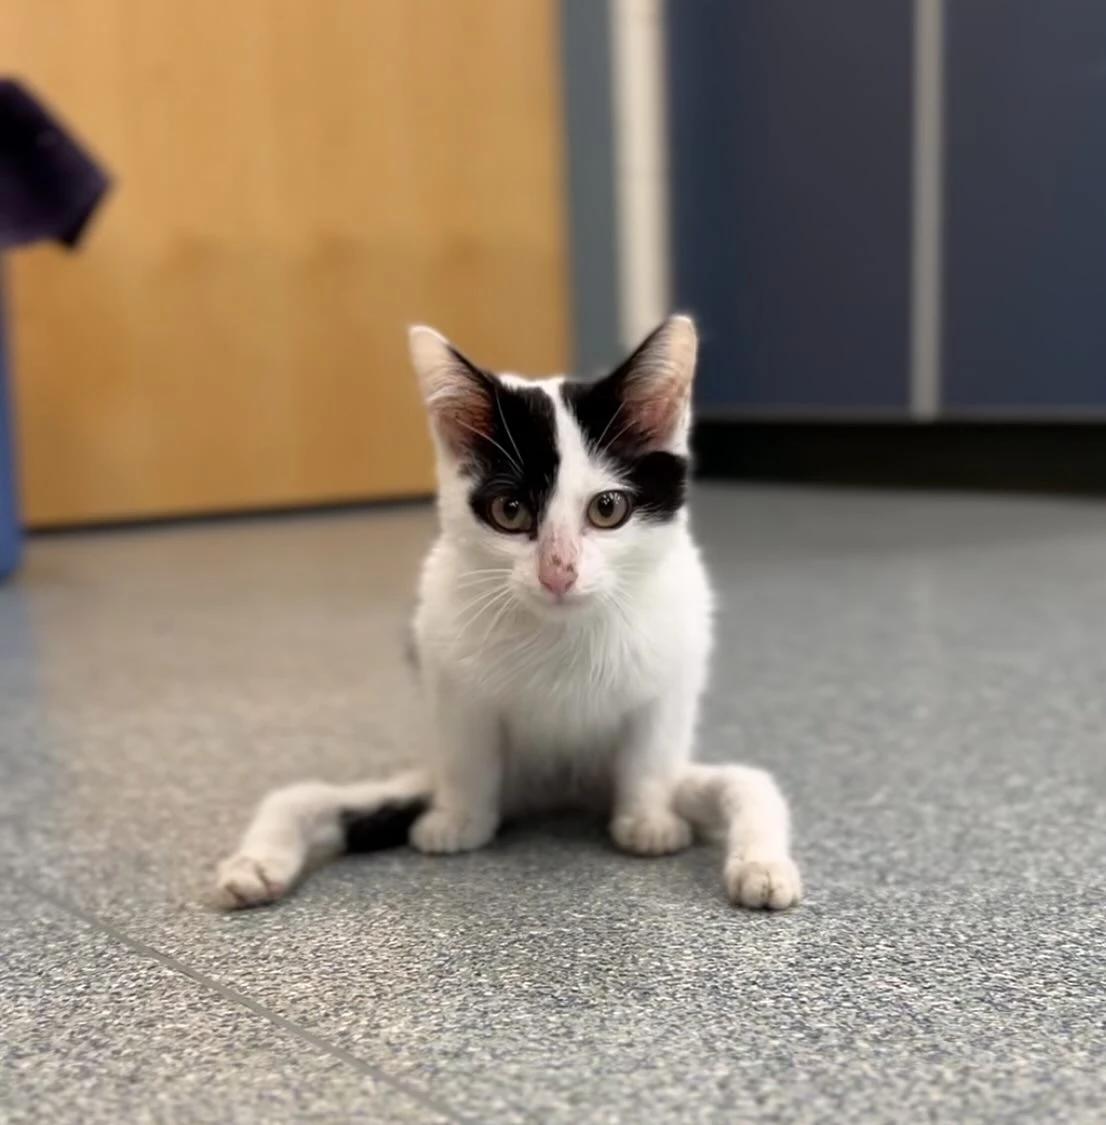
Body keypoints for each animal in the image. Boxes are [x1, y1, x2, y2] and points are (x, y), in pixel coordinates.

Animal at [216, 312, 805, 909]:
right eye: (510, 510)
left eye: (608, 508)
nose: (558, 572)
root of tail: (560, 793)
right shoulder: (445, 659)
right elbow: (466, 746)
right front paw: (459, 820)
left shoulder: (676, 657)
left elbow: (653, 745)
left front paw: (648, 819)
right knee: (304, 794)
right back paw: (256, 864)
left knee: (749, 782)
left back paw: (762, 867)